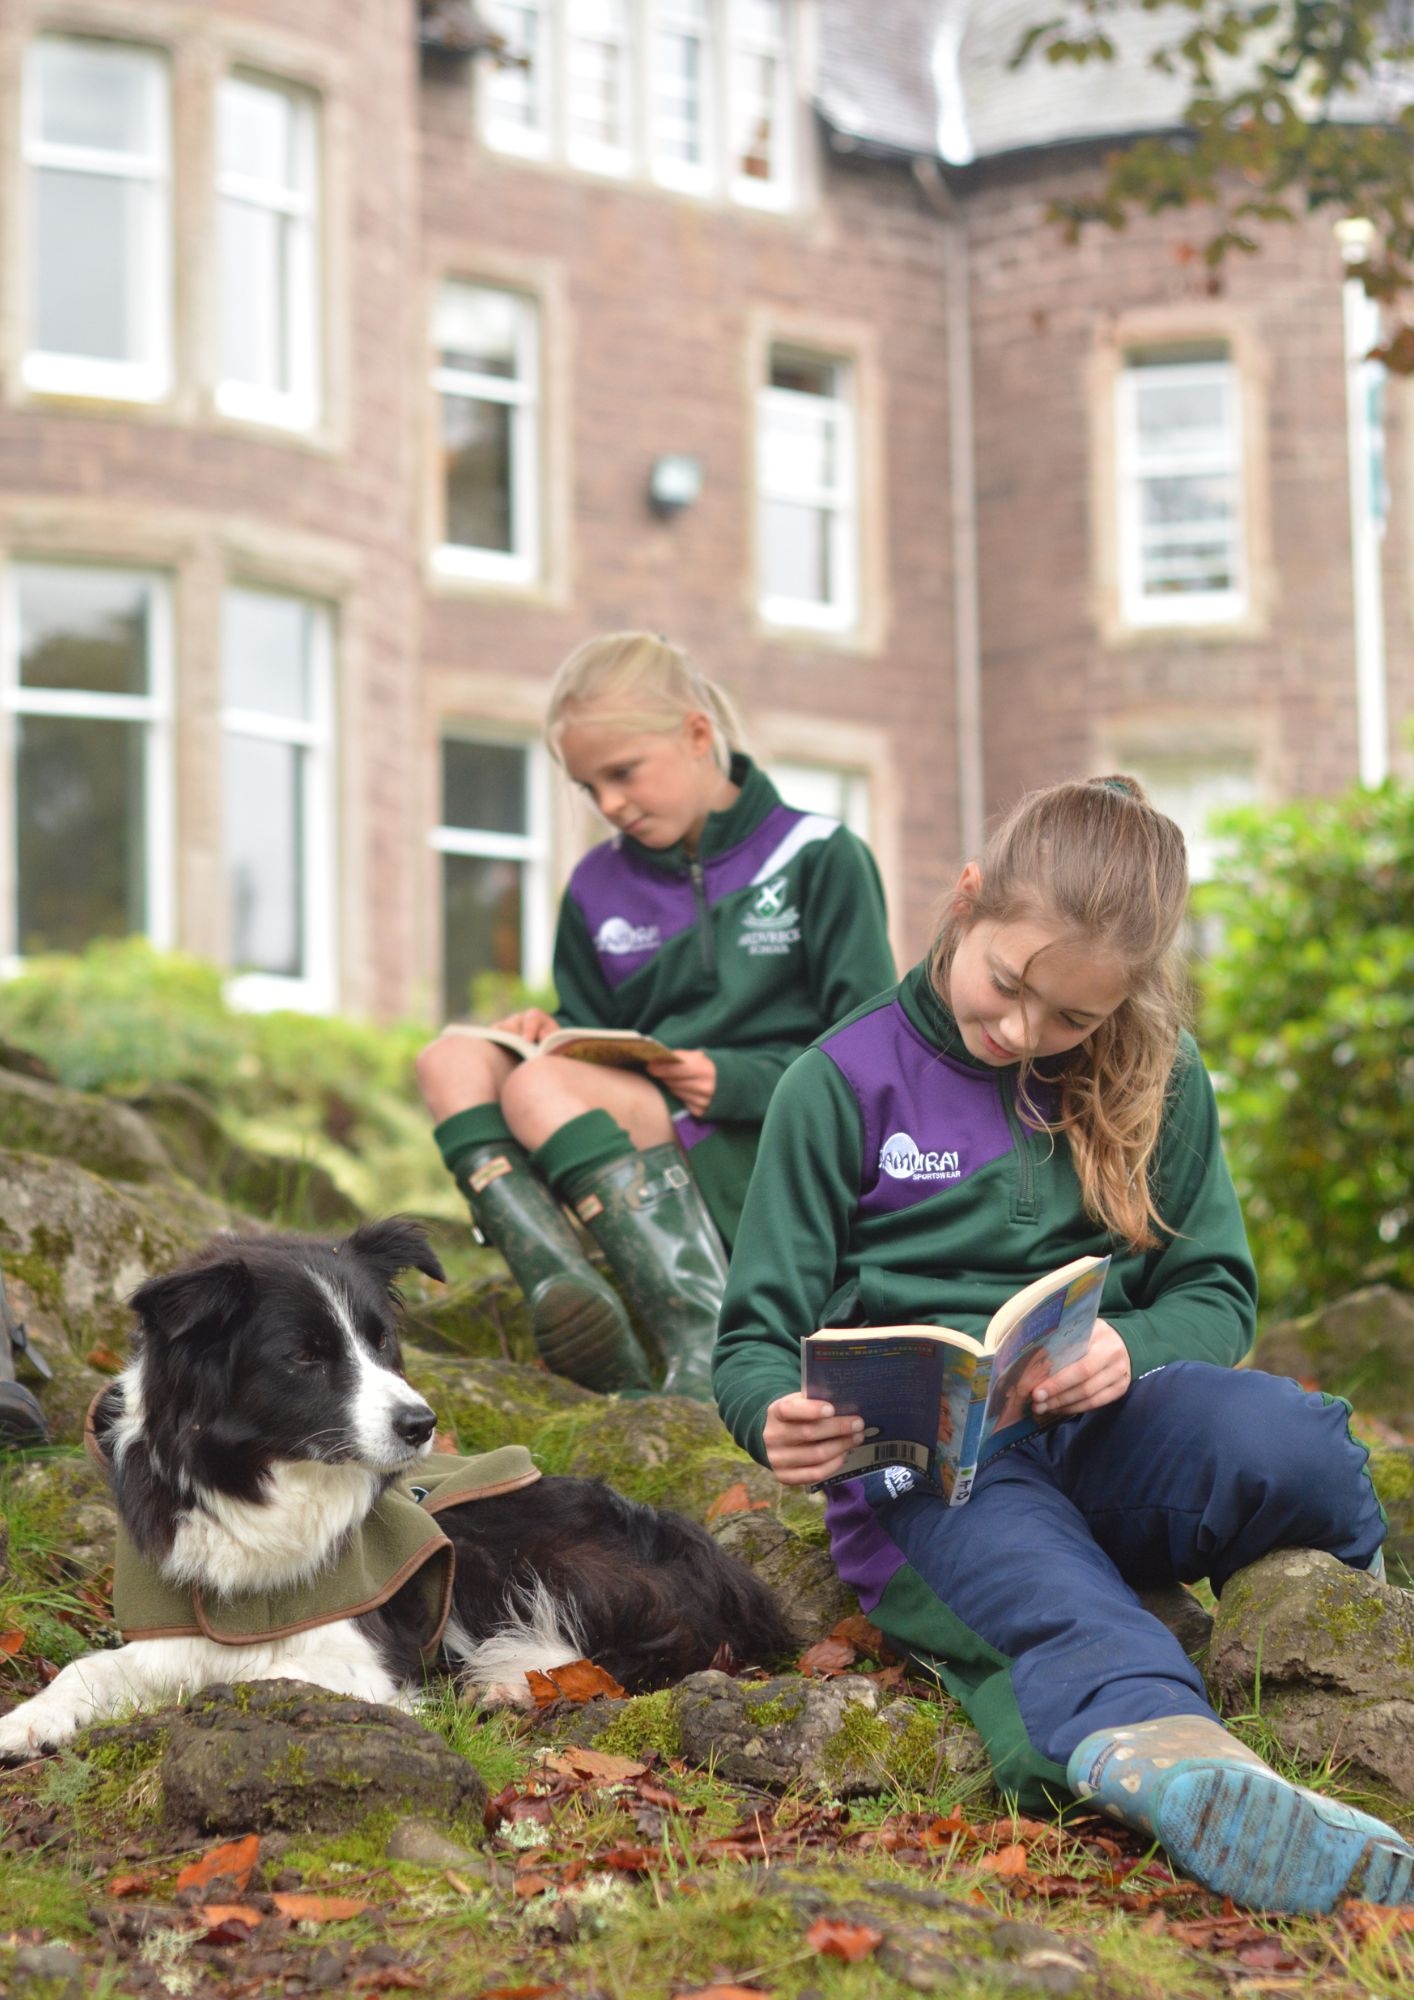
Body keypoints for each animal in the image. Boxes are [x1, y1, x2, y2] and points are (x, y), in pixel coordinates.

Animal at [0, 1208, 796, 1760]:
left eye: (380, 1340)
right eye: (305, 1357)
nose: (422, 1424)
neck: (266, 1486)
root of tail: (728, 1571)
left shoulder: (369, 1659)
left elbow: (261, 1679)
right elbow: (89, 1669)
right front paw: (28, 1719)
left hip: (527, 1550)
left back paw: (510, 1681)